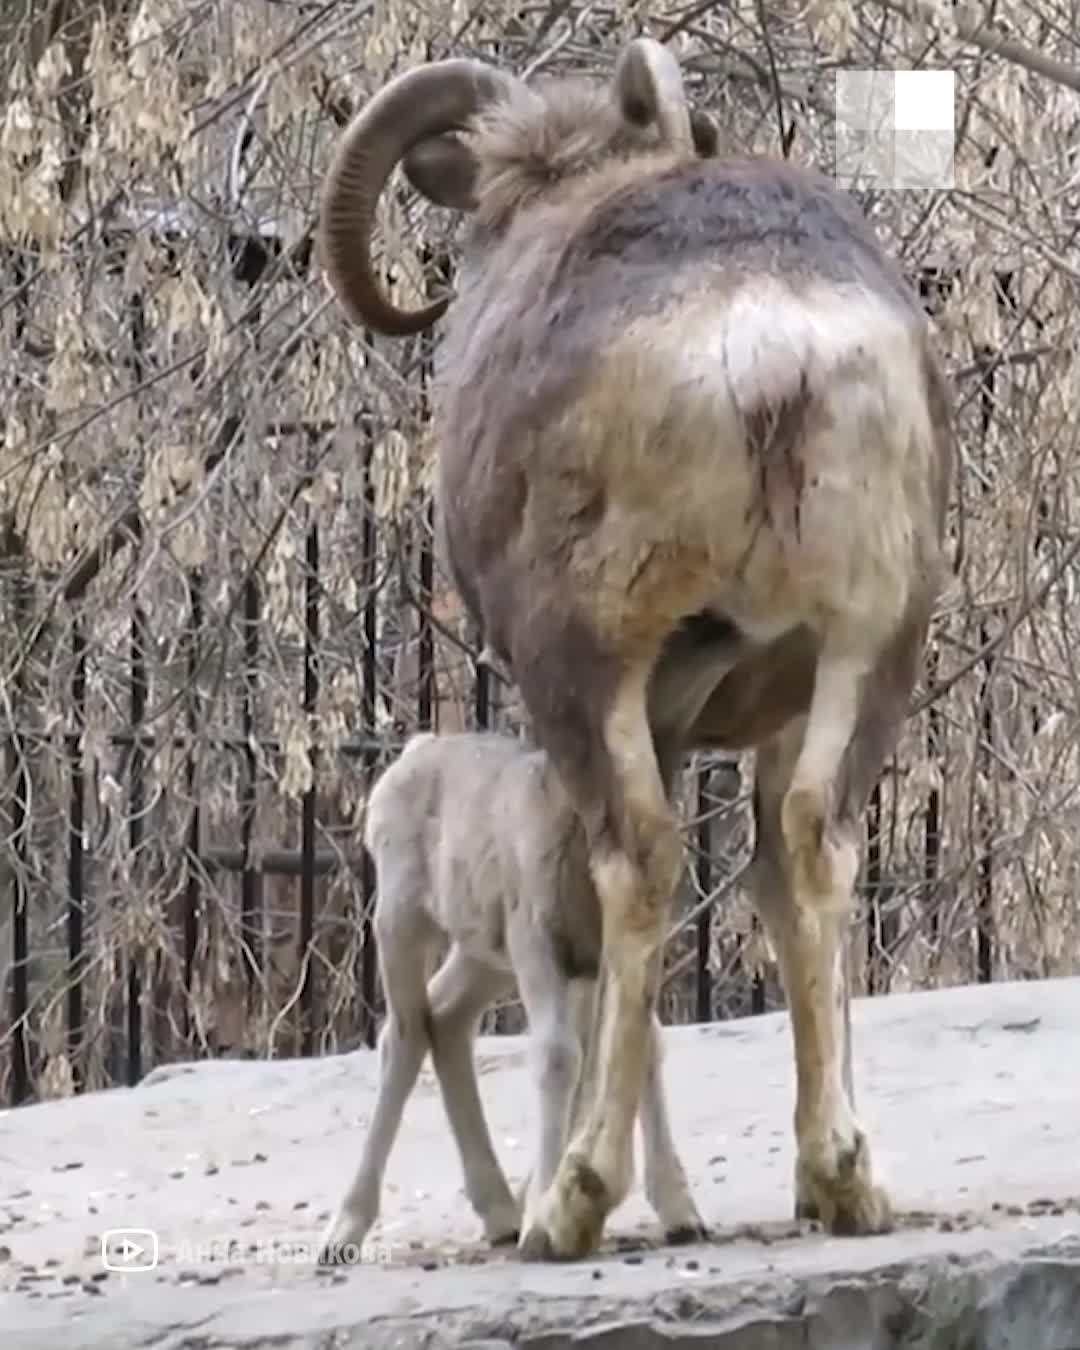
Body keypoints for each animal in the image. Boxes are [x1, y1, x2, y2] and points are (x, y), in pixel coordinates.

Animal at [318, 729, 707, 1263]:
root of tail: (409, 756)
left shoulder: (611, 952)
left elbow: (641, 1042)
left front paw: (682, 1214)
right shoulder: (535, 939)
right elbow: (558, 1054)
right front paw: (543, 1222)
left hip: (481, 952)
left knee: (445, 1017)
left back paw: (500, 1212)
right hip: (401, 915)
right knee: (405, 1033)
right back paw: (344, 1231)